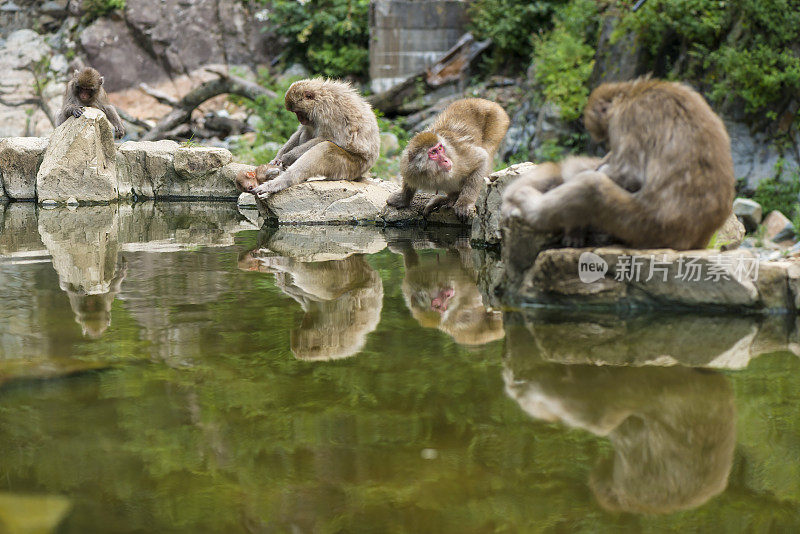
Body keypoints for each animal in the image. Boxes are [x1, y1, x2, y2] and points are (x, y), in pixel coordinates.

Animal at [504, 78, 736, 251]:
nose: (608, 146)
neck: (632, 93)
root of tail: (697, 240)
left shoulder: (629, 117)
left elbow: (630, 174)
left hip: (646, 226)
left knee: (591, 188)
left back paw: (528, 201)